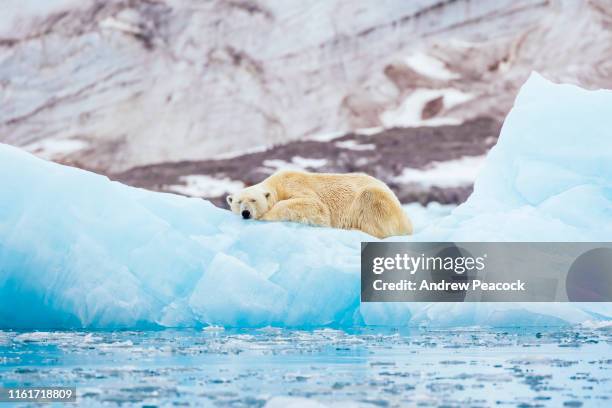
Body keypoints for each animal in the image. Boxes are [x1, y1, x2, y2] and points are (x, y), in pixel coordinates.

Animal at [225, 170, 412, 239]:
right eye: (238, 201)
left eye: (253, 200)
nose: (246, 213)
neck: (277, 183)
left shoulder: (295, 185)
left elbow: (315, 205)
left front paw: (267, 215)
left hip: (379, 201)